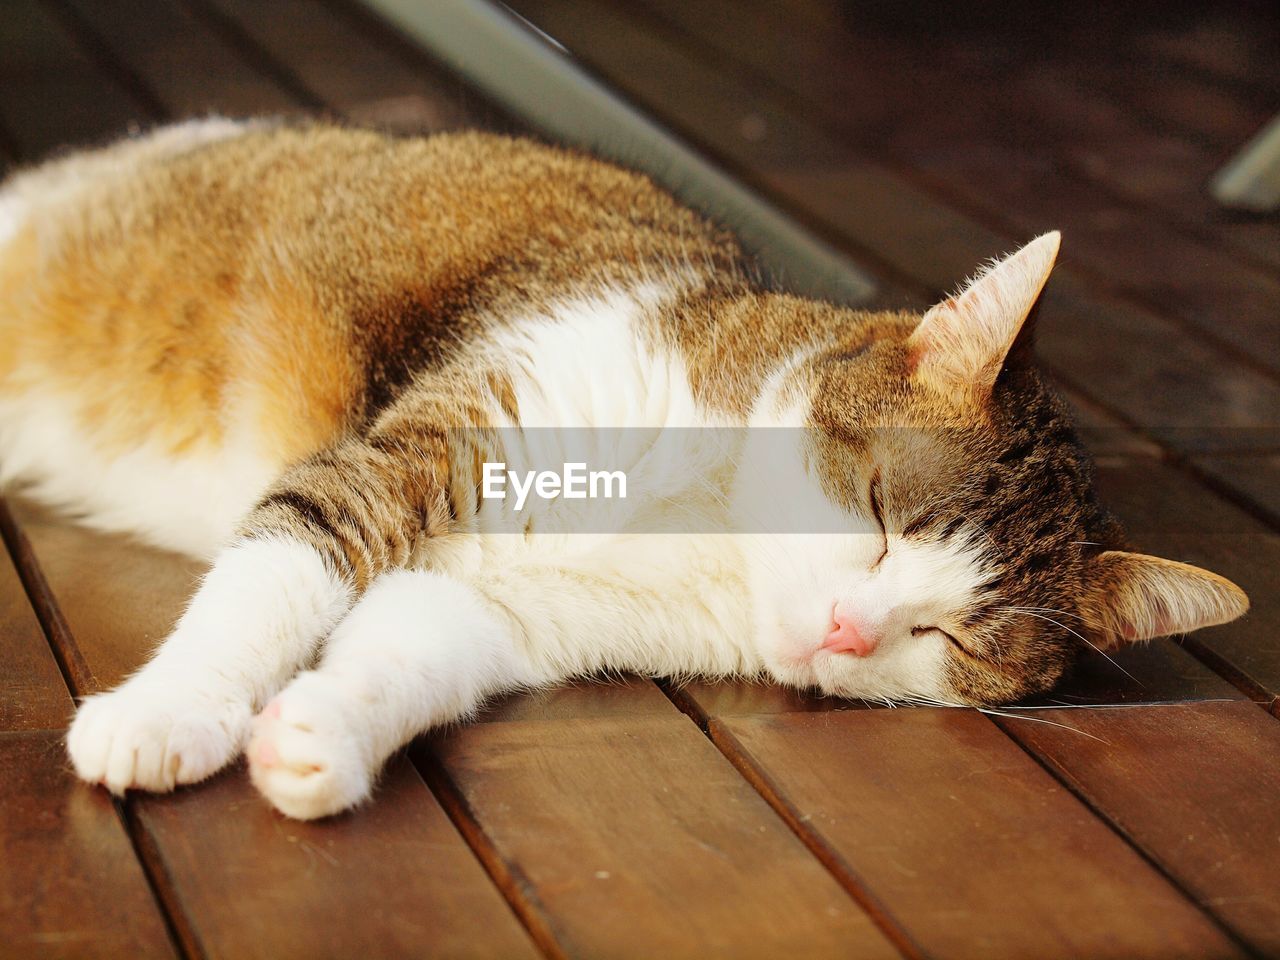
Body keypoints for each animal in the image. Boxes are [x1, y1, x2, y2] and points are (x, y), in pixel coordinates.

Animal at [0, 118, 1244, 819]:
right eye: (881, 511)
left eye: (954, 642)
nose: (847, 631)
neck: (700, 535)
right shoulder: (430, 444)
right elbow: (272, 581)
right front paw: (170, 712)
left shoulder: (493, 609)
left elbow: (405, 653)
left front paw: (319, 740)